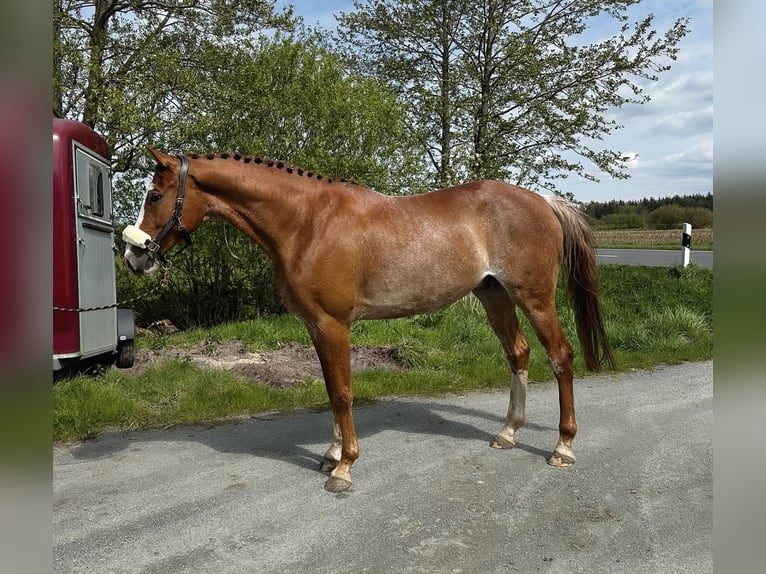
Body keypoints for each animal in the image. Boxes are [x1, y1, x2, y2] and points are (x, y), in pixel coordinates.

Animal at [123, 148, 615, 492]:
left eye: (154, 195)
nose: (133, 257)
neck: (307, 222)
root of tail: (543, 201)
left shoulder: (333, 323)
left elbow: (342, 393)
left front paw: (343, 468)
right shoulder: (315, 325)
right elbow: (330, 388)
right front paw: (331, 453)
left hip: (534, 299)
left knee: (561, 356)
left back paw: (563, 446)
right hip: (494, 296)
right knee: (519, 354)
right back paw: (508, 433)